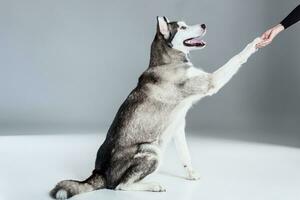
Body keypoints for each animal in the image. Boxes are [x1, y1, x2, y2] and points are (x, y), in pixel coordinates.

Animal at [50, 16, 262, 199]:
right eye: (182, 27)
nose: (204, 24)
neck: (167, 61)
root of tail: (99, 172)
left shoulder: (178, 124)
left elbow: (185, 154)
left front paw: (191, 173)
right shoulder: (211, 82)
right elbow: (236, 58)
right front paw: (254, 43)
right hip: (152, 151)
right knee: (120, 186)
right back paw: (152, 185)